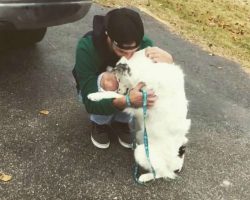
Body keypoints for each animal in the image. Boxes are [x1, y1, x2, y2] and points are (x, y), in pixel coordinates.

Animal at [88, 48, 191, 183]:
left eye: (119, 79)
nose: (108, 69)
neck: (149, 71)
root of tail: (178, 164)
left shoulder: (138, 106)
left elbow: (117, 96)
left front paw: (95, 95)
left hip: (142, 153)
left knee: (161, 173)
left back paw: (144, 177)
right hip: (140, 135)